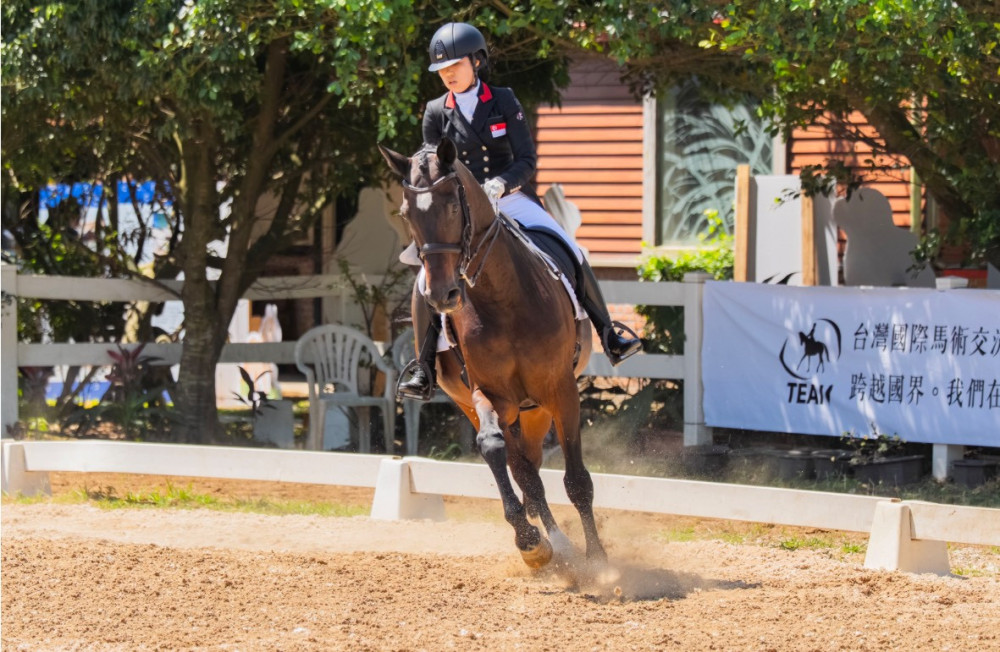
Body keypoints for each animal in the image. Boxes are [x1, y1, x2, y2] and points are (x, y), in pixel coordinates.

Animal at [379, 137, 605, 569]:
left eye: (453, 205)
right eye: (405, 213)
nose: (443, 295)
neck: (502, 299)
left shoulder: (562, 389)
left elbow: (577, 479)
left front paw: (599, 559)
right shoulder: (489, 394)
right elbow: (493, 447)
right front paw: (529, 540)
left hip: (536, 408)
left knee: (533, 465)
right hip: (488, 403)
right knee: (523, 469)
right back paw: (552, 545)